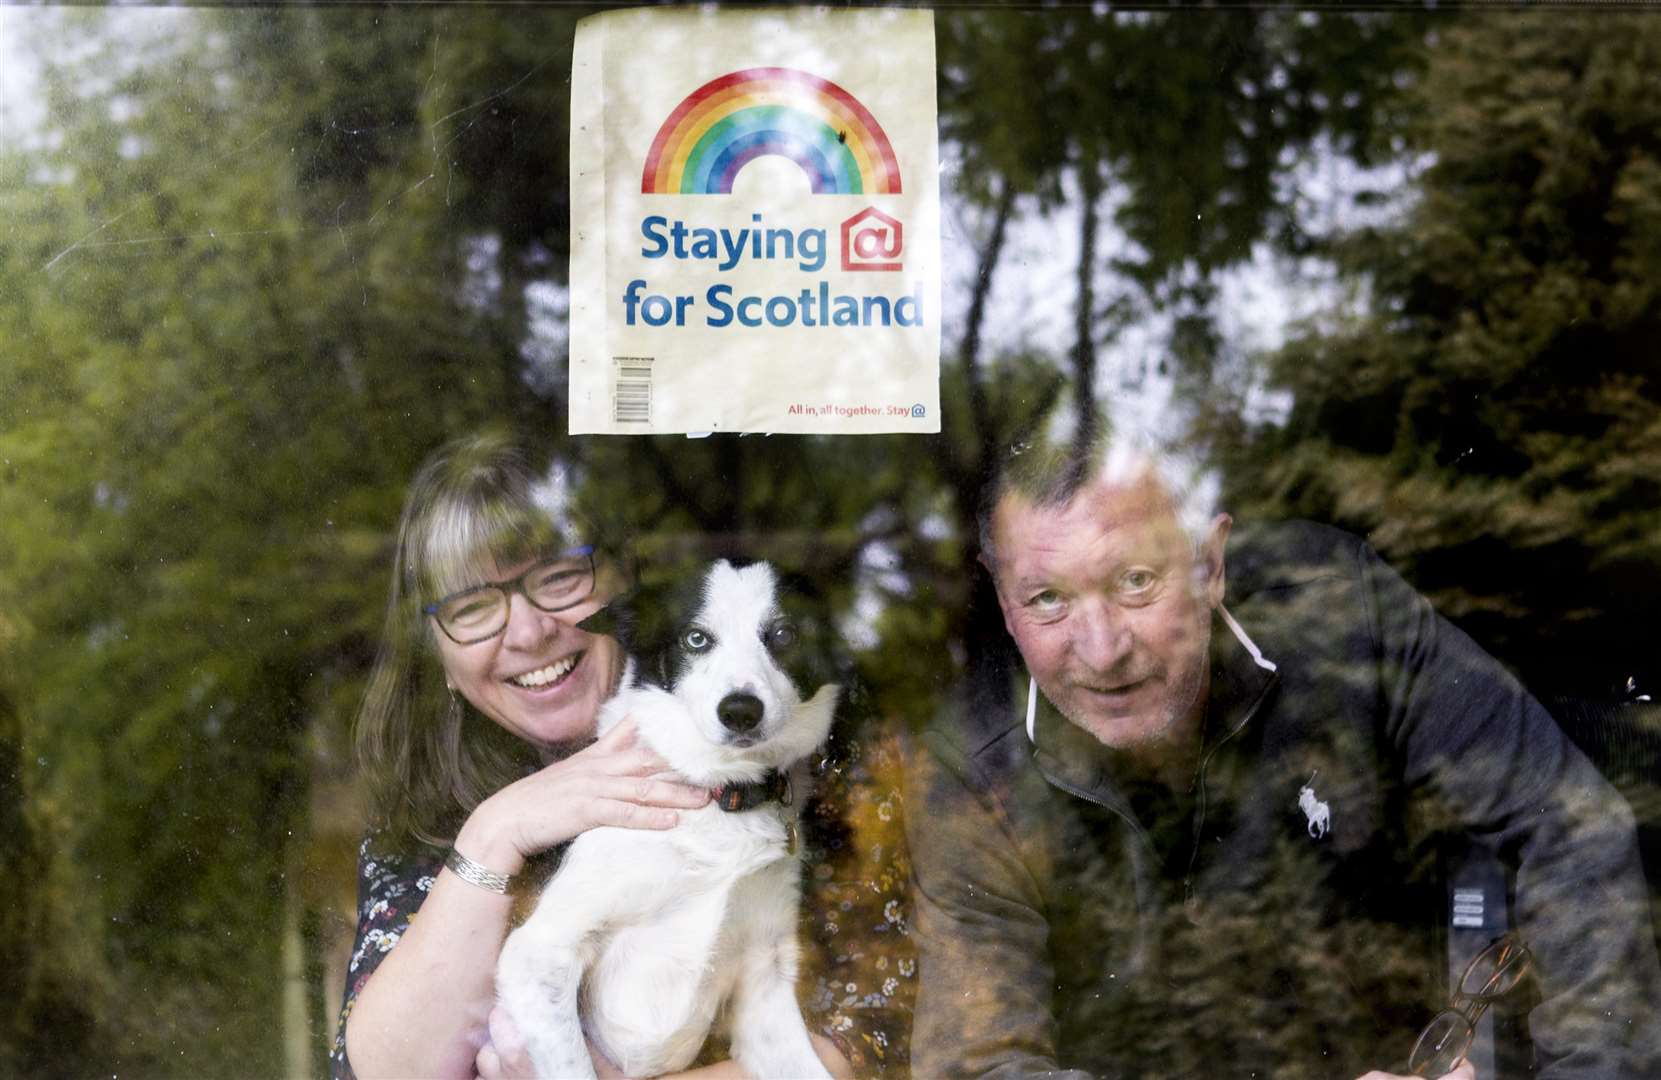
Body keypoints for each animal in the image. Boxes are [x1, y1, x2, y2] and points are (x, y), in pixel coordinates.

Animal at [494, 558, 843, 1070]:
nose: (741, 711)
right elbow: (572, 1064)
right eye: (695, 638)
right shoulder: (538, 955)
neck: (718, 791)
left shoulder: (764, 975)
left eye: (783, 634)